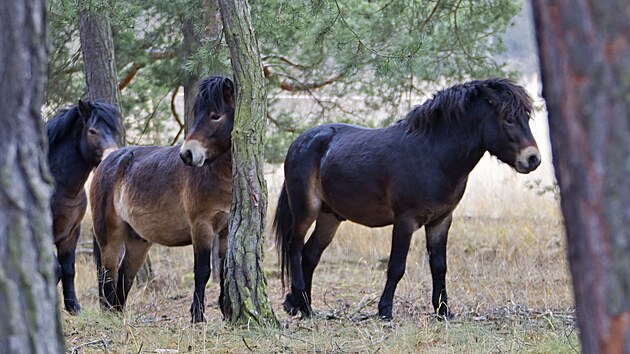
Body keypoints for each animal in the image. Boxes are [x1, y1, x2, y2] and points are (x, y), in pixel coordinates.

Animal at [47, 99, 122, 312]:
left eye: (115, 131)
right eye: (92, 131)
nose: (111, 156)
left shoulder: (71, 232)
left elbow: (67, 269)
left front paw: (74, 308)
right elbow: (54, 269)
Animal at [90, 76, 236, 322]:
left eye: (215, 115)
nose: (187, 155)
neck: (214, 173)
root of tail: (106, 162)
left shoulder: (225, 229)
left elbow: (225, 269)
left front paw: (226, 312)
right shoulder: (201, 227)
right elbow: (202, 271)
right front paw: (198, 316)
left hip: (138, 241)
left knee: (124, 277)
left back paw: (119, 314)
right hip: (109, 238)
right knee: (108, 275)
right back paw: (110, 316)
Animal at [276, 78, 544, 320]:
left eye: (525, 117)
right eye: (508, 118)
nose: (533, 159)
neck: (433, 154)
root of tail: (300, 141)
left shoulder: (441, 221)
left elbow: (439, 266)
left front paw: (443, 311)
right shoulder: (405, 221)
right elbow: (396, 266)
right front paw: (385, 310)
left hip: (330, 216)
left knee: (310, 255)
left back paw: (304, 307)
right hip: (306, 209)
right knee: (295, 247)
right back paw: (297, 299)